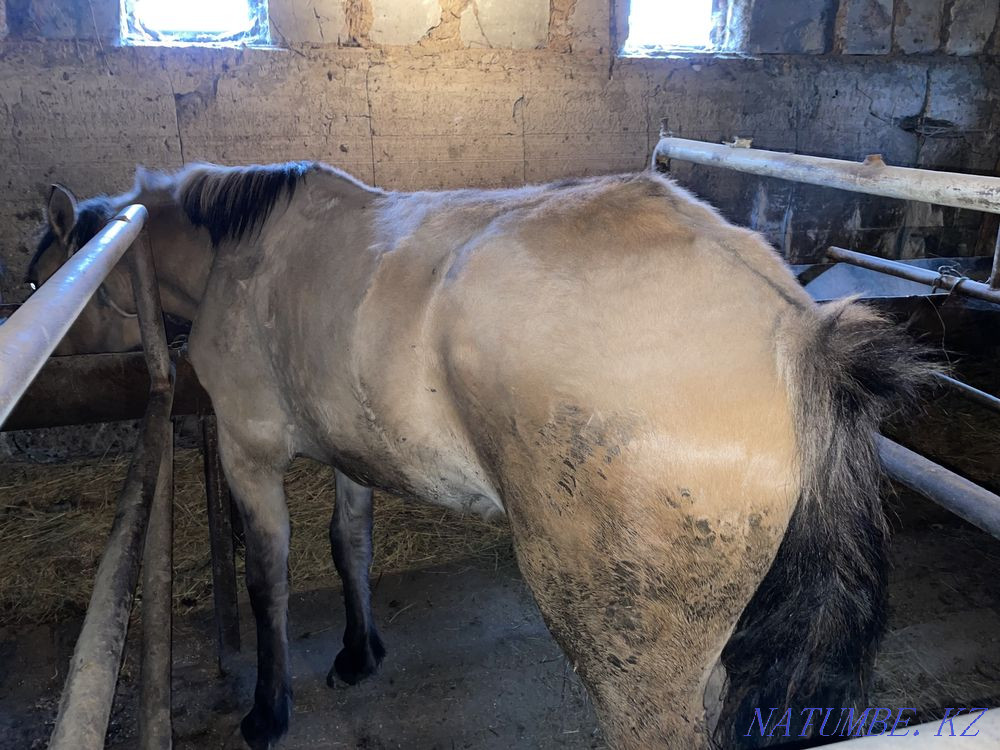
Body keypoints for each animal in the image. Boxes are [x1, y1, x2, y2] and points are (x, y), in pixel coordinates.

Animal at [25, 162, 933, 749]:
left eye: (40, 277)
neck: (243, 256)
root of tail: (795, 328)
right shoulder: (350, 457)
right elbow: (349, 545)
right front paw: (358, 654)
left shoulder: (251, 454)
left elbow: (267, 577)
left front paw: (268, 711)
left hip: (628, 653)